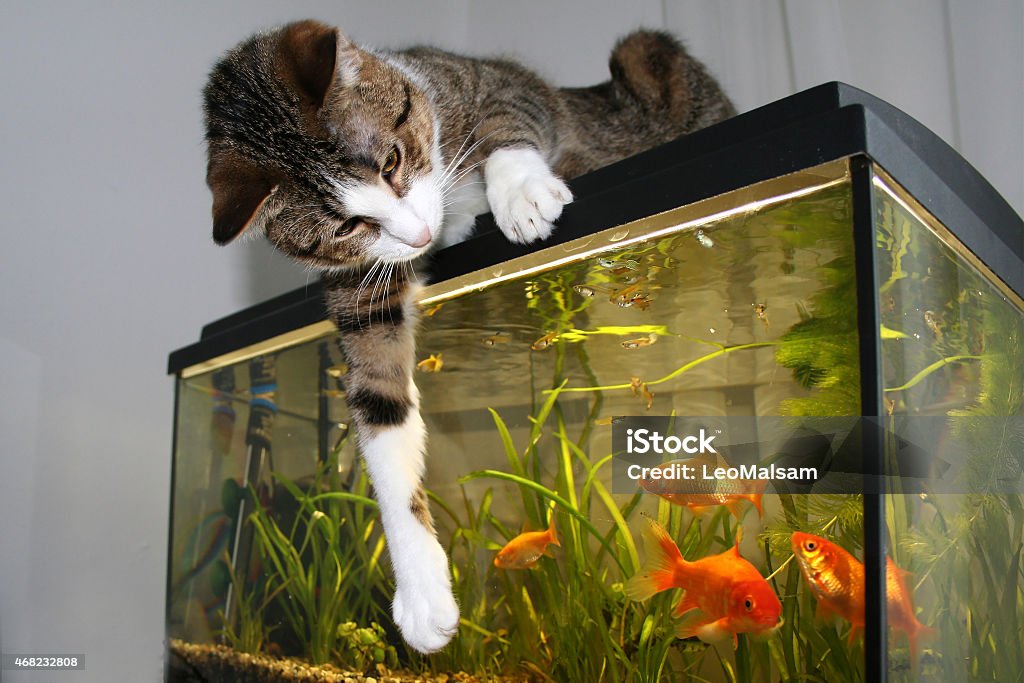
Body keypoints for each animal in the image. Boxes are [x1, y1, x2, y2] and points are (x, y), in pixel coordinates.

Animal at [201, 18, 737, 655]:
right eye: (348, 225)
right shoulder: (361, 291)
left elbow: (508, 116)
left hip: (647, 58)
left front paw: (521, 193)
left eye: (391, 161)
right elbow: (381, 409)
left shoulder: (492, 82)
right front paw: (421, 592)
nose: (419, 235)